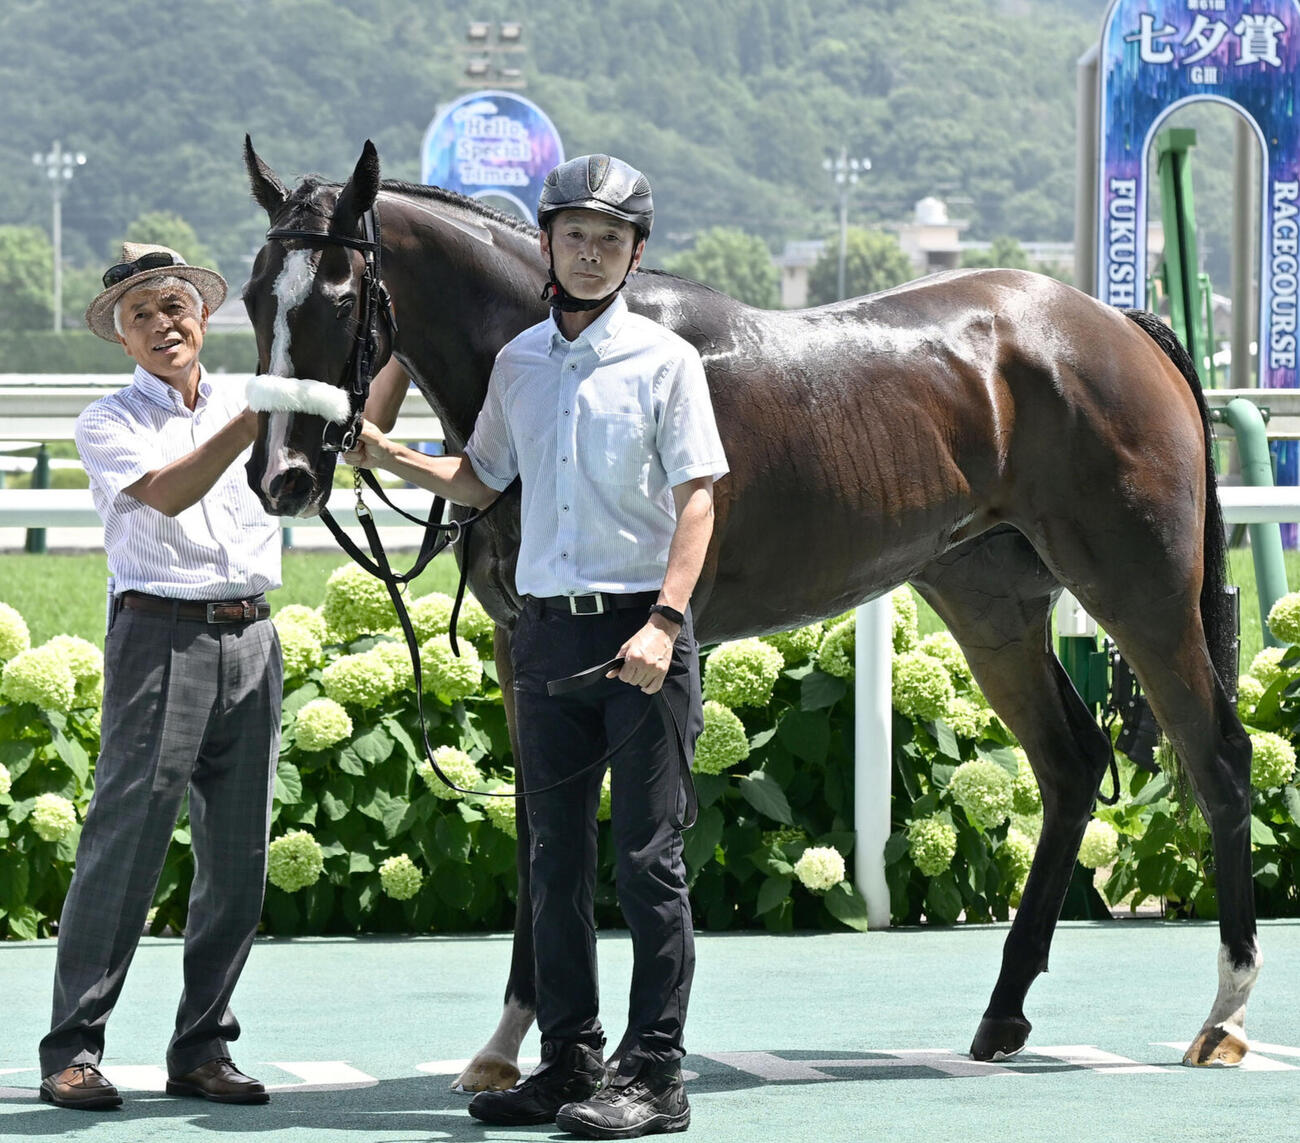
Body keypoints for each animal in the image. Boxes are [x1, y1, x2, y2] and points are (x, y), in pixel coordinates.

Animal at [240, 139, 1258, 1085]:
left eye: (338, 296)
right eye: (254, 296)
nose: (280, 476)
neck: (565, 356)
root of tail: (1116, 324)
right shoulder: (523, 643)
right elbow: (540, 828)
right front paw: (504, 1047)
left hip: (1141, 587)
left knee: (1216, 755)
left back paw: (1225, 1012)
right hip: (988, 600)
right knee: (1071, 760)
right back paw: (1004, 1013)